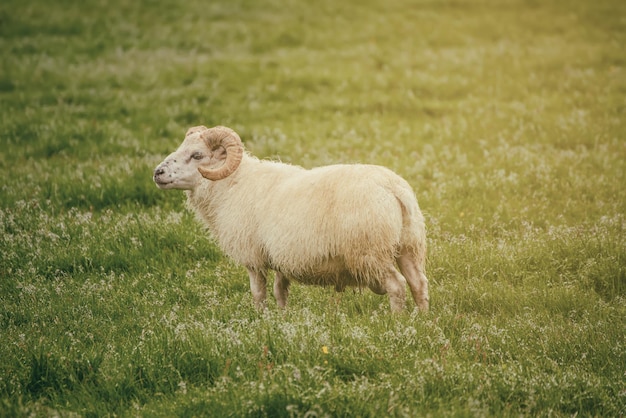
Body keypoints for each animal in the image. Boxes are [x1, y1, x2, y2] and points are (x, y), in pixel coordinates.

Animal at [153, 125, 426, 312]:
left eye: (197, 155)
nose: (158, 172)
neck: (231, 185)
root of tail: (393, 188)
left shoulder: (252, 257)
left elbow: (258, 293)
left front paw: (260, 319)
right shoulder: (279, 257)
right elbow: (280, 291)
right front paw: (283, 317)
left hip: (370, 252)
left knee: (397, 285)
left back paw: (396, 322)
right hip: (408, 246)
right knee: (418, 283)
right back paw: (420, 320)